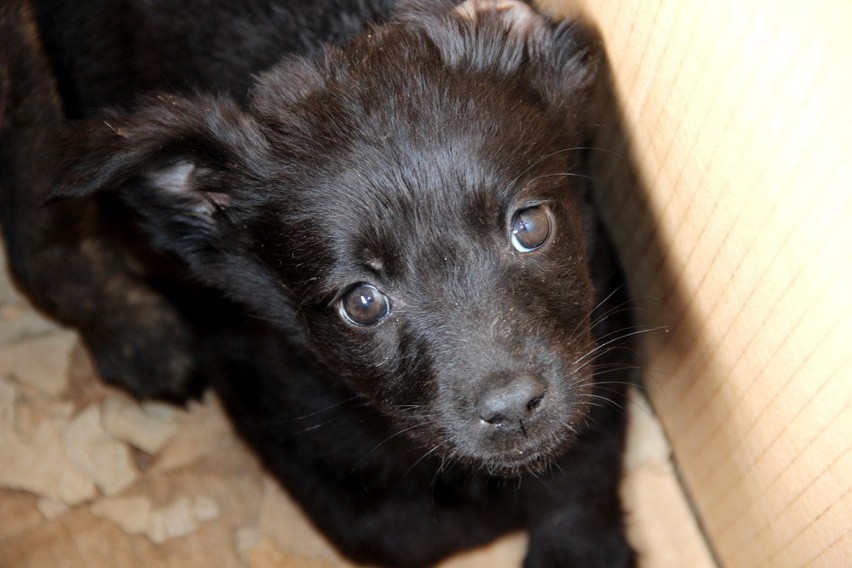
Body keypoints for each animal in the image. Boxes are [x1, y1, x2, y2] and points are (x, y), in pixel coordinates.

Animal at [1, 0, 640, 564]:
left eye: (530, 227)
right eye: (362, 303)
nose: (513, 408)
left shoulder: (599, 327)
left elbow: (580, 464)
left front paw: (580, 547)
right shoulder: (265, 390)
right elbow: (400, 529)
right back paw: (138, 336)